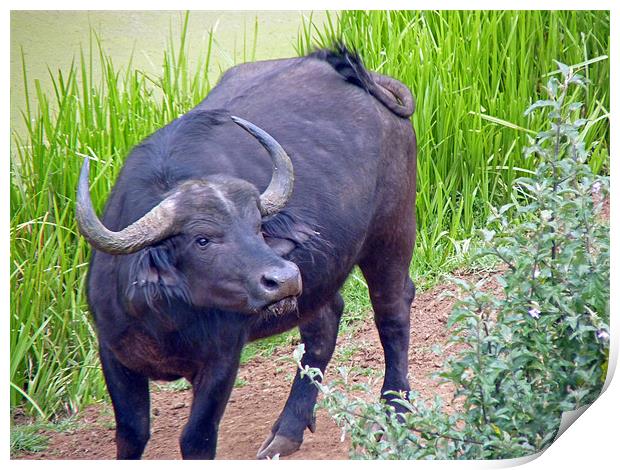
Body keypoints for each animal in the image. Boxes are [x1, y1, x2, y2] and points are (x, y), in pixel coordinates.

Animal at [77, 46, 416, 458]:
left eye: (257, 226)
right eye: (202, 239)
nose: (284, 280)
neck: (167, 314)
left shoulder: (222, 358)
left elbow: (196, 437)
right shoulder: (113, 353)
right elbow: (131, 432)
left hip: (392, 232)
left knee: (392, 314)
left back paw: (395, 412)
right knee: (323, 325)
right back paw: (288, 430)